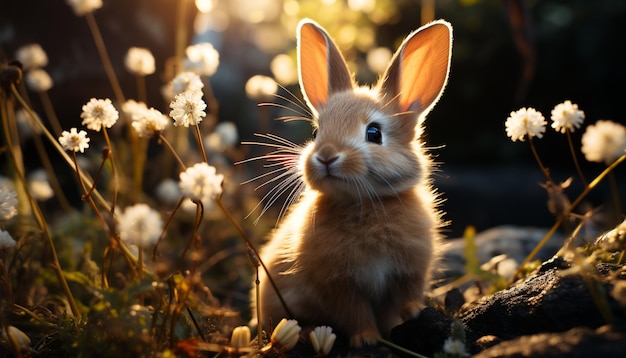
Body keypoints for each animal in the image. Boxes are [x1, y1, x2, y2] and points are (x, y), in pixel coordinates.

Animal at [247, 17, 448, 346]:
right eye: (317, 132)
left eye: (374, 133)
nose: (327, 156)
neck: (364, 203)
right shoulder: (339, 285)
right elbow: (354, 313)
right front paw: (367, 339)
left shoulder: (410, 270)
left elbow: (406, 296)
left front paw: (415, 313)